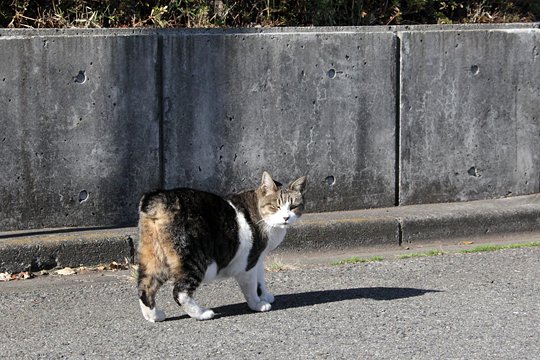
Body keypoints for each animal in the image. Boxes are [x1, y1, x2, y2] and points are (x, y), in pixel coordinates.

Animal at [137, 170, 306, 322]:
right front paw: (257, 304)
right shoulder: (249, 261)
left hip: (156, 256)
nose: (286, 217)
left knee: (145, 286)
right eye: (276, 206)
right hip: (193, 258)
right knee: (180, 292)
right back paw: (201, 314)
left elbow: (260, 279)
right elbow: (251, 285)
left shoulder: (258, 257)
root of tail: (161, 197)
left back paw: (153, 316)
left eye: (293, 207)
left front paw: (264, 295)